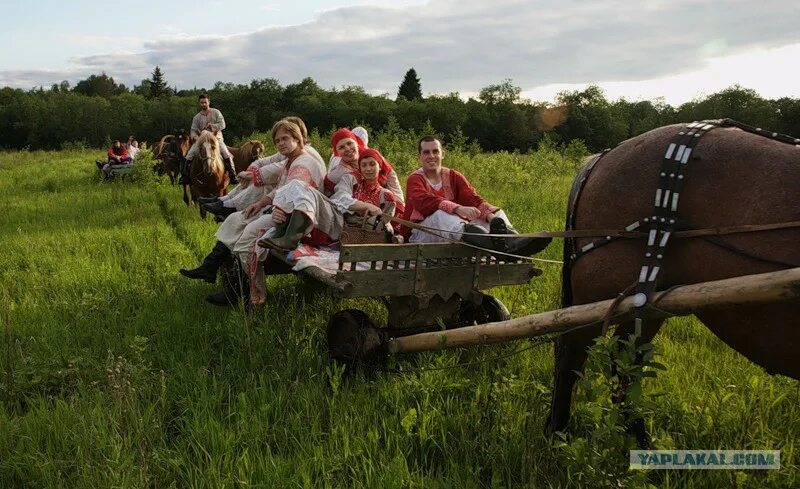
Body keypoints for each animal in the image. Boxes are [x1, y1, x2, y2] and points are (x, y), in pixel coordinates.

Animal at [552, 121, 800, 446]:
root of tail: (602, 158)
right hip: (598, 294)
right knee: (572, 355)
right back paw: (558, 435)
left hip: (644, 302)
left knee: (624, 363)